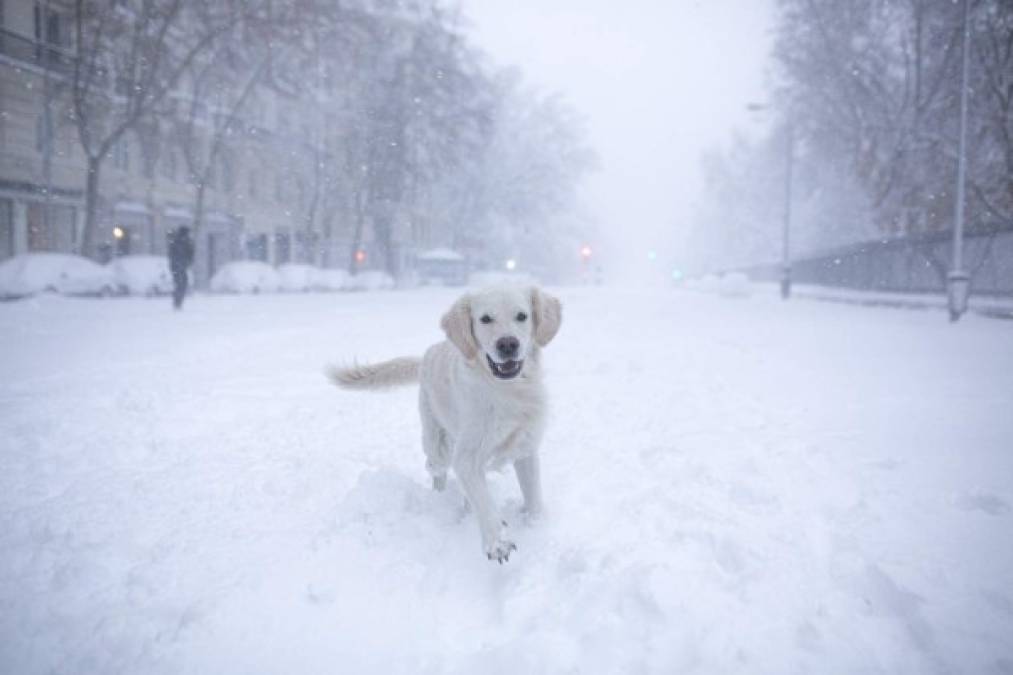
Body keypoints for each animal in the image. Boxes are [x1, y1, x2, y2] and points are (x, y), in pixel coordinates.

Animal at [328, 285, 563, 563]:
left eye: (522, 316)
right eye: (485, 319)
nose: (507, 344)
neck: (505, 391)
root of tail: (427, 354)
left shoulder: (525, 447)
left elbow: (533, 495)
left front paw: (536, 527)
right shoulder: (467, 457)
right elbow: (483, 500)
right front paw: (497, 542)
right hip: (436, 443)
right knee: (435, 470)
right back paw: (439, 498)